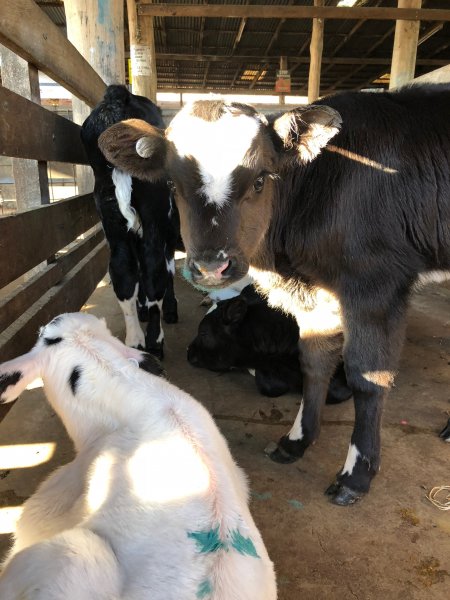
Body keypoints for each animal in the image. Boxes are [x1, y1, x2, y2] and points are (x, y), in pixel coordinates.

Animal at [81, 83, 179, 356]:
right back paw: (155, 341)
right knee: (154, 272)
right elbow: (163, 271)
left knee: (123, 272)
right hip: (154, 221)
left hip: (112, 222)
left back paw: (135, 340)